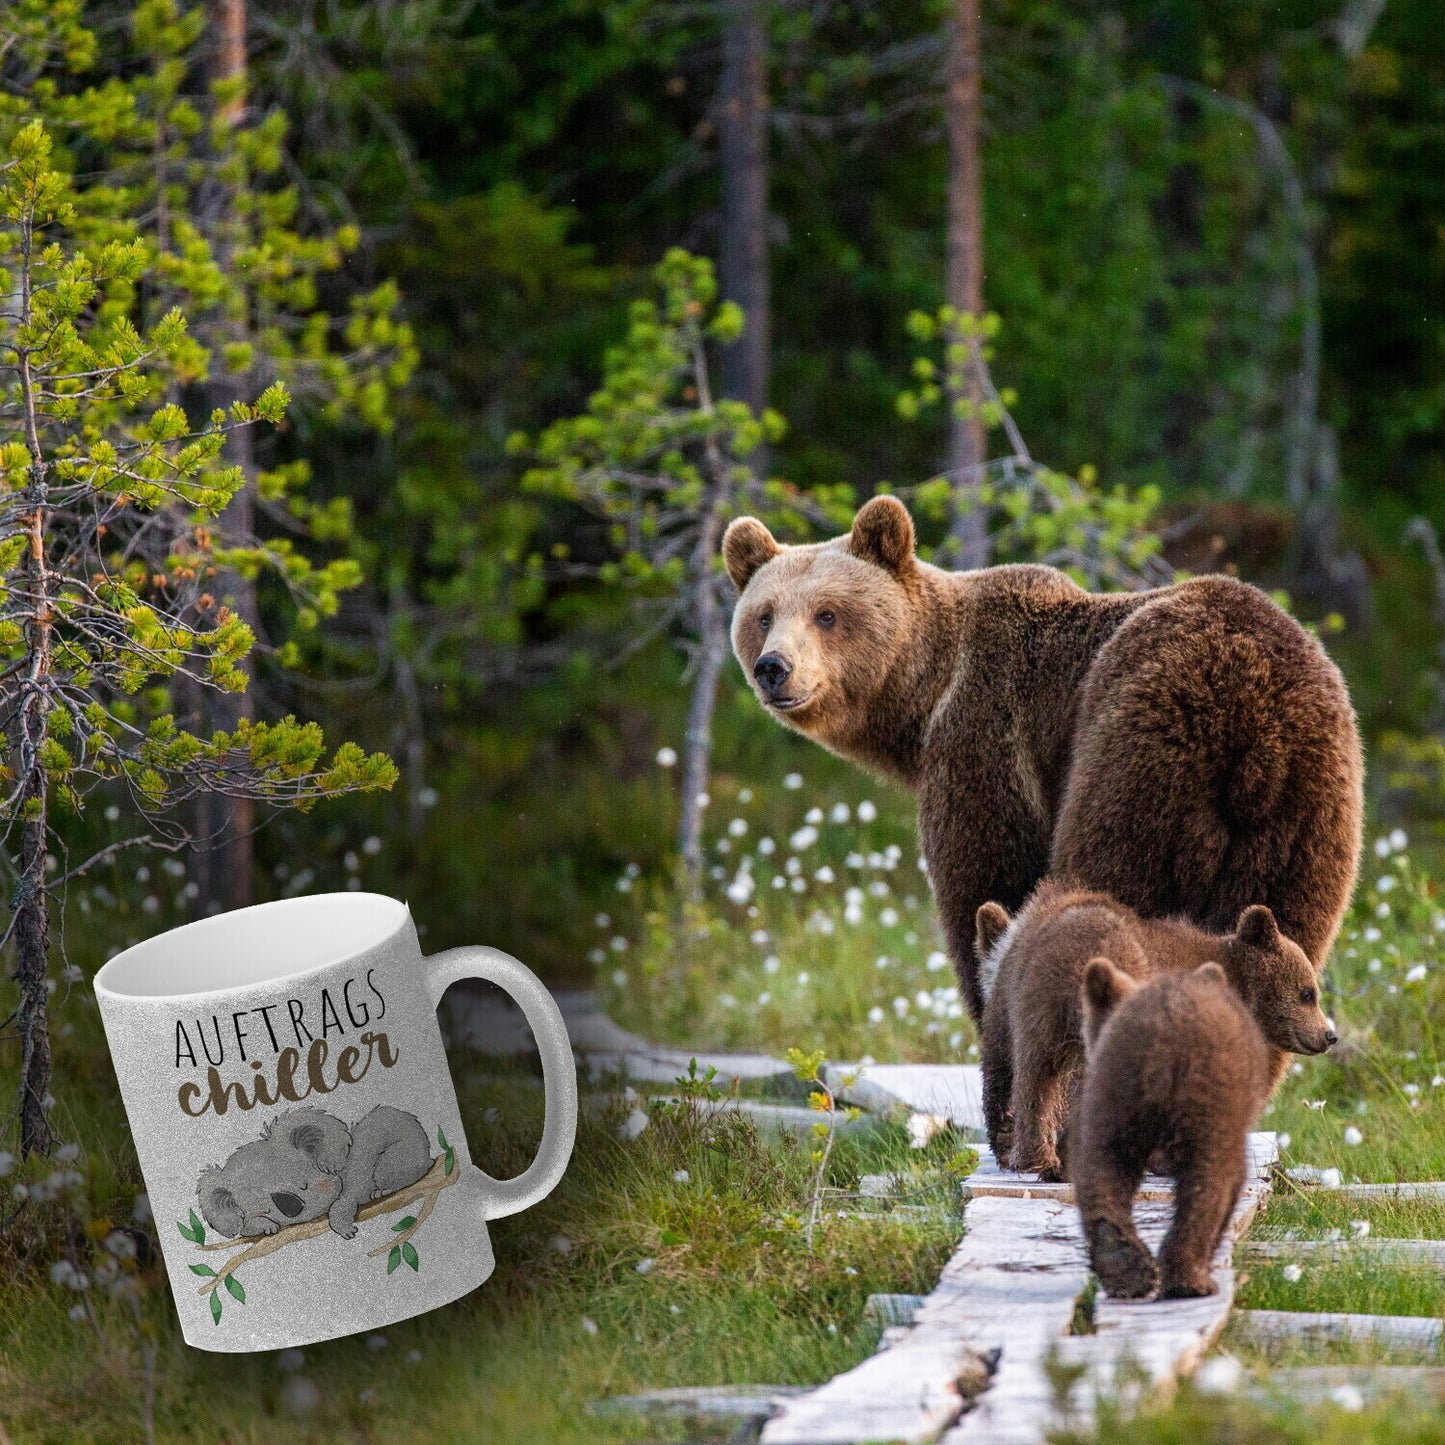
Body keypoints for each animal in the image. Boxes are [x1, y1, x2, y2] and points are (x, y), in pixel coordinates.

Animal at [728, 499, 1358, 1028]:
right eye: (764, 614)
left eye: (827, 614)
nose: (774, 668)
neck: (925, 698)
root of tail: (1256, 722)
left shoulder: (988, 735)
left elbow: (988, 880)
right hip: (1307, 813)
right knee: (1284, 933)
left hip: (1145, 755)